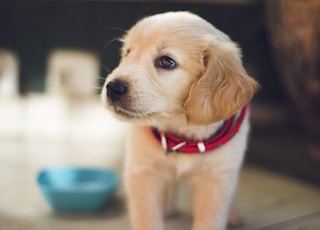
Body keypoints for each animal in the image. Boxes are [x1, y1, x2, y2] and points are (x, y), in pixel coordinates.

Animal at [101, 11, 258, 230]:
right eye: (127, 53)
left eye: (167, 62)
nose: (113, 88)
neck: (181, 133)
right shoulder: (142, 172)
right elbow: (147, 217)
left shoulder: (216, 179)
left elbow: (210, 219)